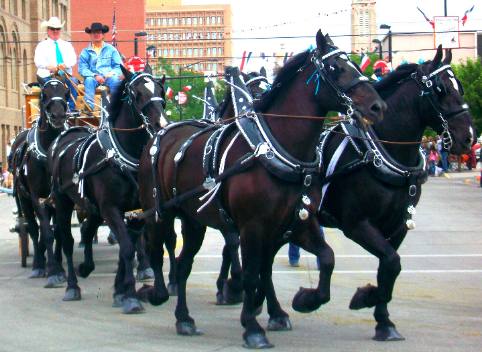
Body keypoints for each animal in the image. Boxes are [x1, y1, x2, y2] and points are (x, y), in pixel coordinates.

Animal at [11, 78, 69, 284]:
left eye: (66, 93)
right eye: (44, 94)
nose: (58, 116)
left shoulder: (59, 197)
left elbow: (58, 231)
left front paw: (59, 267)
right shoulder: (36, 197)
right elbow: (45, 232)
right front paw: (52, 271)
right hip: (24, 199)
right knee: (34, 229)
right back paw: (38, 264)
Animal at [48, 64, 167, 312]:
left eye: (161, 89)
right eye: (137, 94)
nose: (160, 124)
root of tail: (65, 136)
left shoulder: (138, 211)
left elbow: (127, 247)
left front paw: (120, 290)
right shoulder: (111, 209)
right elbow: (127, 248)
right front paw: (130, 296)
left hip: (92, 205)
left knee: (87, 229)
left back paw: (87, 266)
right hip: (63, 202)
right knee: (66, 240)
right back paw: (71, 286)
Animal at [138, 31, 384, 350]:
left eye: (353, 64)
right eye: (336, 68)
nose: (378, 106)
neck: (277, 148)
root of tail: (160, 134)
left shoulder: (297, 223)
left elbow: (326, 258)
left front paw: (303, 300)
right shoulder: (252, 227)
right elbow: (252, 274)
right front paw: (252, 325)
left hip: (194, 221)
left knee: (182, 264)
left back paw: (184, 318)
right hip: (159, 213)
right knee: (157, 251)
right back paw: (155, 293)